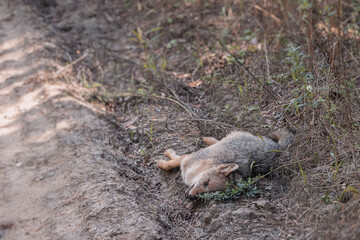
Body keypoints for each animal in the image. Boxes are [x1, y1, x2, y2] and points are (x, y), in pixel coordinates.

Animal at [157, 128, 292, 200]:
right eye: (206, 182)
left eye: (210, 193)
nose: (191, 197)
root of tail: (277, 147)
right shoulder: (187, 159)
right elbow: (171, 163)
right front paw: (165, 157)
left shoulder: (187, 160)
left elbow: (171, 163)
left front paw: (164, 159)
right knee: (218, 140)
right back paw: (207, 139)